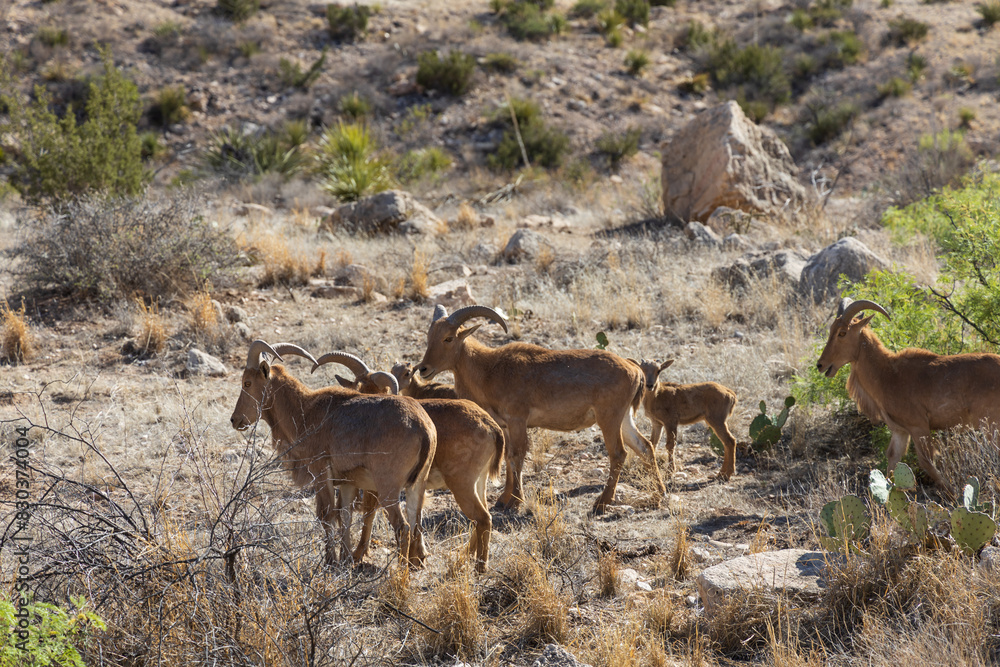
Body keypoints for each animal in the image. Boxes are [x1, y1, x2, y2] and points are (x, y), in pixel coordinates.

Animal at [230, 340, 437, 567]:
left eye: (247, 383)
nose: (235, 419)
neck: (304, 412)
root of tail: (422, 427)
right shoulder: (347, 482)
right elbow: (344, 516)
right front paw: (345, 558)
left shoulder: (320, 472)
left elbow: (326, 515)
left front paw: (330, 561)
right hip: (417, 484)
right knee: (415, 521)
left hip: (388, 487)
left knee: (403, 526)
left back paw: (400, 572)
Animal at [312, 354, 504, 572]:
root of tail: (490, 425)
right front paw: (417, 557)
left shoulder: (376, 484)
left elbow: (369, 513)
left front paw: (359, 554)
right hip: (479, 482)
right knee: (483, 516)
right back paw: (467, 554)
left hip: (462, 483)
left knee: (482, 518)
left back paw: (479, 566)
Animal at [416, 304, 665, 515]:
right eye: (430, 337)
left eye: (448, 338)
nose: (424, 369)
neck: (490, 369)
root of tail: (634, 370)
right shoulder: (505, 426)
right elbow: (508, 457)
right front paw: (503, 500)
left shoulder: (518, 419)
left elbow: (517, 456)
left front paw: (515, 501)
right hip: (624, 418)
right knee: (645, 446)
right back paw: (659, 493)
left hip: (609, 418)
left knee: (619, 453)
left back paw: (602, 503)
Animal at [816, 298, 1000, 493]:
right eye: (831, 330)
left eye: (842, 333)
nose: (820, 365)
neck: (887, 373)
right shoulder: (900, 431)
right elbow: (892, 459)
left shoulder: (918, 427)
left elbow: (926, 462)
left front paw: (952, 493)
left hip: (990, 423)